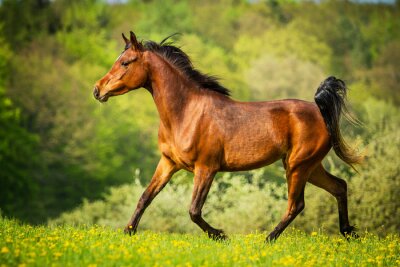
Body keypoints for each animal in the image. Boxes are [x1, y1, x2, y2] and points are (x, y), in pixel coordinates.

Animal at [93, 31, 360, 243]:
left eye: (125, 62)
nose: (97, 90)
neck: (186, 113)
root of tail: (319, 110)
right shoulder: (168, 163)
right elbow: (145, 197)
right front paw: (128, 232)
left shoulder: (206, 168)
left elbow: (194, 210)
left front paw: (220, 235)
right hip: (309, 166)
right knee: (339, 186)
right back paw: (349, 233)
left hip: (298, 166)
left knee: (296, 204)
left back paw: (268, 240)